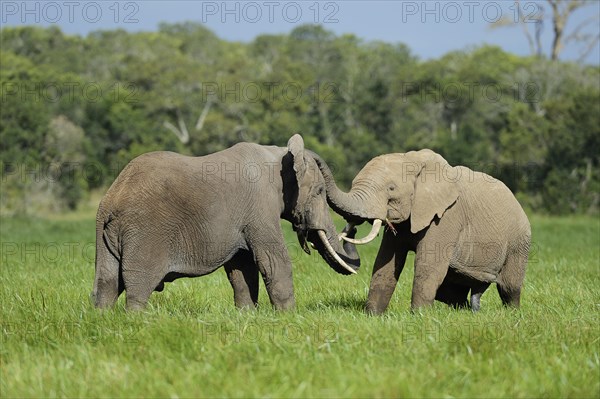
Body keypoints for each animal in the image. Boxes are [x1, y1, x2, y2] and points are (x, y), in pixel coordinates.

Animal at [91, 135, 358, 312]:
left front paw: (247, 315)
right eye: (320, 191)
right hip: (146, 233)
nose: (352, 227)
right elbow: (273, 260)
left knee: (107, 282)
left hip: (106, 236)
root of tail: (111, 199)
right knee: (138, 285)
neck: (281, 153)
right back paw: (138, 319)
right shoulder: (260, 207)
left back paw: (105, 318)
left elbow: (242, 266)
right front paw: (288, 316)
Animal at [312, 148, 532, 314]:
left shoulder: (446, 216)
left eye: (391, 189)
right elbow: (386, 263)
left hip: (519, 242)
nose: (354, 229)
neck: (411, 161)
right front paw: (373, 316)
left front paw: (419, 317)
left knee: (509, 286)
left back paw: (512, 313)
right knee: (452, 292)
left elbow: (428, 265)